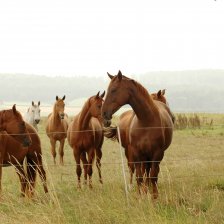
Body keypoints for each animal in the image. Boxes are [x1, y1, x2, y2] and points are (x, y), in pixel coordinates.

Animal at [102, 71, 174, 199]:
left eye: (114, 90)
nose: (104, 114)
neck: (146, 121)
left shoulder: (157, 154)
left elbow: (153, 176)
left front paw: (154, 196)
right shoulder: (137, 153)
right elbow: (139, 177)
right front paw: (141, 196)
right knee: (134, 169)